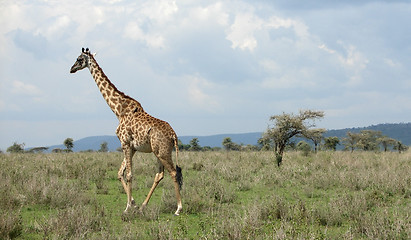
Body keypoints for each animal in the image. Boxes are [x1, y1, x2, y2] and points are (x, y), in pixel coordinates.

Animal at [70, 47, 183, 216]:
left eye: (79, 59)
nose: (71, 69)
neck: (118, 110)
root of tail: (173, 135)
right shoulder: (132, 146)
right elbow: (120, 173)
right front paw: (134, 204)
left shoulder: (125, 142)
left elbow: (129, 174)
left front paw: (127, 207)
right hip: (158, 152)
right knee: (160, 174)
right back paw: (143, 206)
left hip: (163, 152)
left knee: (174, 172)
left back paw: (178, 208)